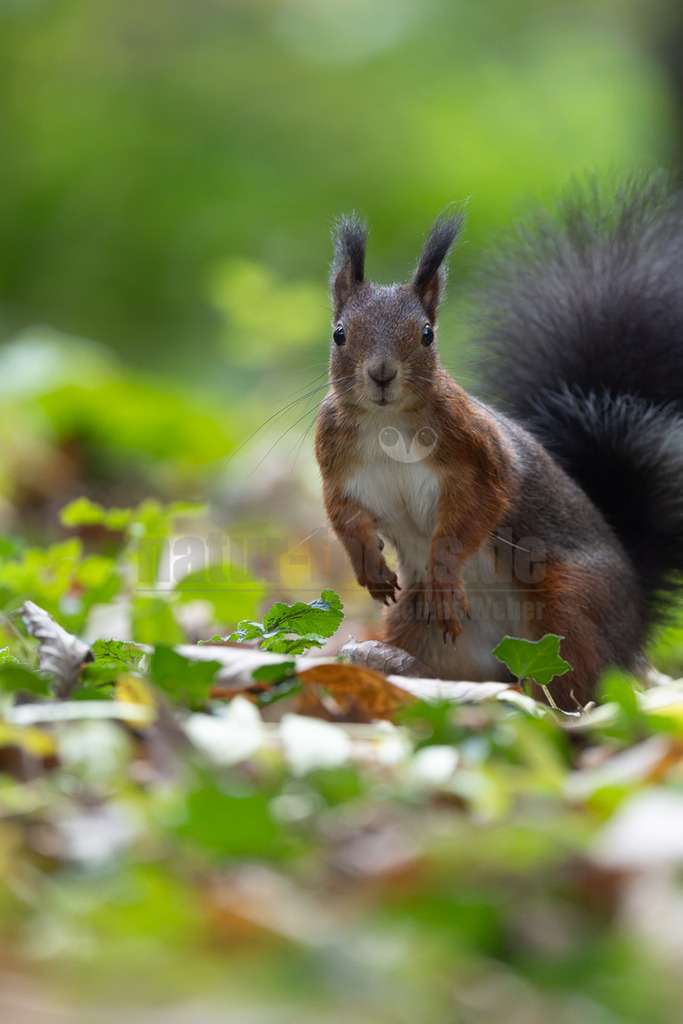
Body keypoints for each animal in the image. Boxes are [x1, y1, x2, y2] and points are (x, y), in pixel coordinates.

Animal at [314, 175, 683, 711]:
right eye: (340, 333)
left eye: (427, 334)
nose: (381, 374)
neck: (387, 424)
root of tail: (633, 625)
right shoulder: (336, 465)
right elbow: (343, 518)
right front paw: (370, 566)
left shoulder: (479, 456)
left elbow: (474, 514)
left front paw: (446, 574)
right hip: (418, 623)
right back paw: (399, 668)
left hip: (568, 607)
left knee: (575, 682)